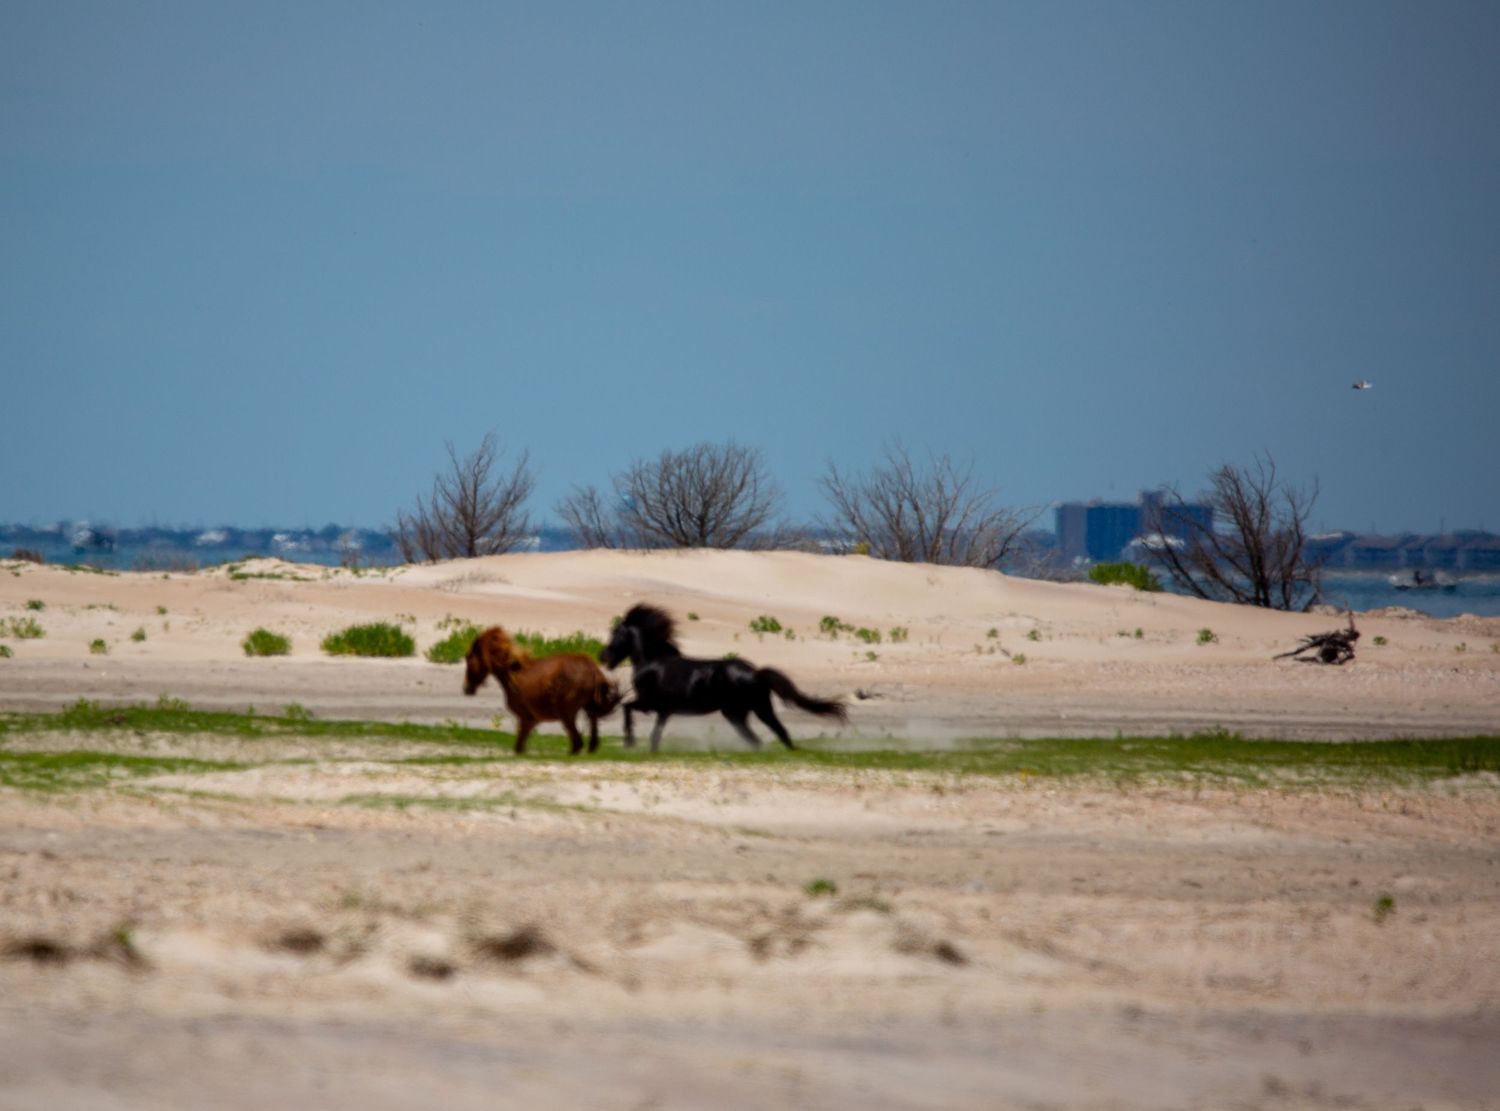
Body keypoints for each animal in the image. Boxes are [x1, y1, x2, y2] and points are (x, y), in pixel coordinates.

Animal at [463, 626, 622, 755]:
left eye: (468, 657)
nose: (466, 689)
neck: (512, 675)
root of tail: (593, 669)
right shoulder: (531, 720)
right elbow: (520, 747)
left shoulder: (526, 717)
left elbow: (519, 747)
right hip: (587, 707)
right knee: (591, 729)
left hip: (566, 713)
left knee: (577, 742)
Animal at [600, 603, 847, 752]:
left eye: (616, 634)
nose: (604, 658)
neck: (652, 663)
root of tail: (755, 673)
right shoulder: (664, 710)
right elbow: (655, 734)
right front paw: (648, 749)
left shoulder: (650, 703)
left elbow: (626, 707)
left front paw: (629, 742)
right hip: (756, 709)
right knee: (774, 734)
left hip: (737, 712)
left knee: (763, 737)